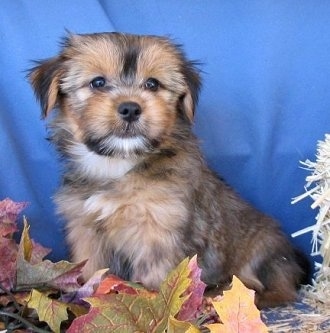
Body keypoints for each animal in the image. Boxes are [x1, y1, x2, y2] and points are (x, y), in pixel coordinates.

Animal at [29, 32, 308, 308]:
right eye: (98, 82)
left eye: (152, 84)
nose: (130, 108)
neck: (118, 165)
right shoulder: (85, 231)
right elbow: (91, 273)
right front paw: (84, 302)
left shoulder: (158, 234)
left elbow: (156, 281)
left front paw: (157, 308)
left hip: (265, 250)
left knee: (279, 289)